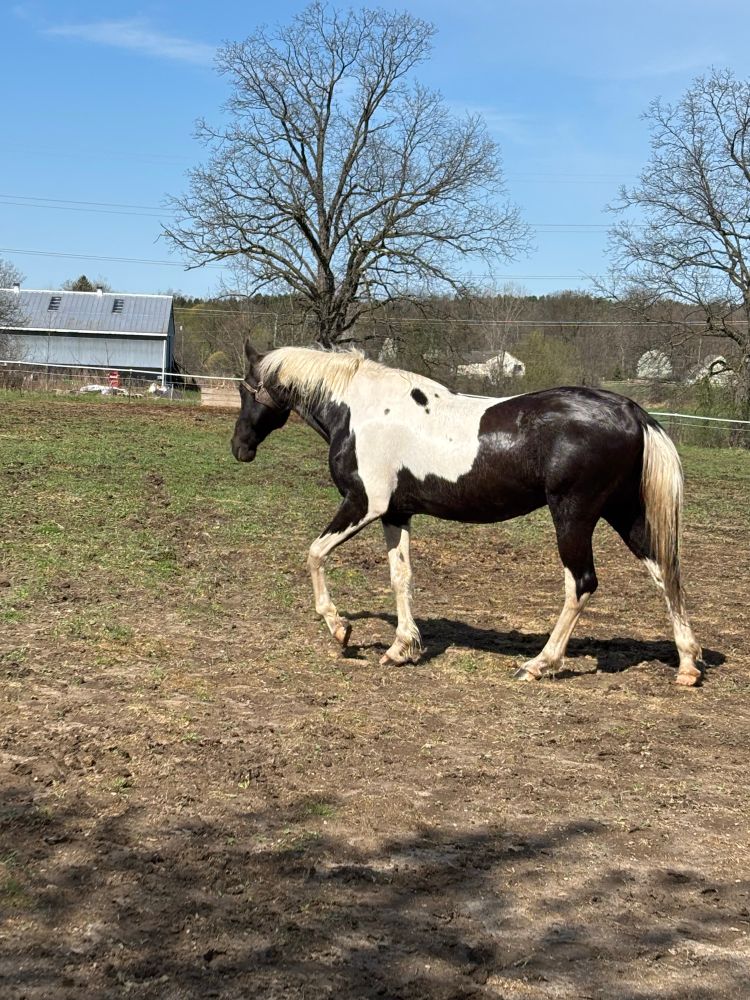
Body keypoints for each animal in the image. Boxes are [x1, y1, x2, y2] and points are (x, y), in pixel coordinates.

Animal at [231, 341, 702, 686]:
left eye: (245, 388)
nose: (239, 448)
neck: (360, 410)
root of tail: (632, 411)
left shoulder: (363, 504)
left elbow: (315, 553)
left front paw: (340, 629)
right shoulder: (395, 514)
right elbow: (400, 578)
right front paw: (401, 648)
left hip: (574, 515)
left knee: (581, 583)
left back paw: (539, 664)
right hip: (624, 513)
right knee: (665, 572)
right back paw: (687, 666)